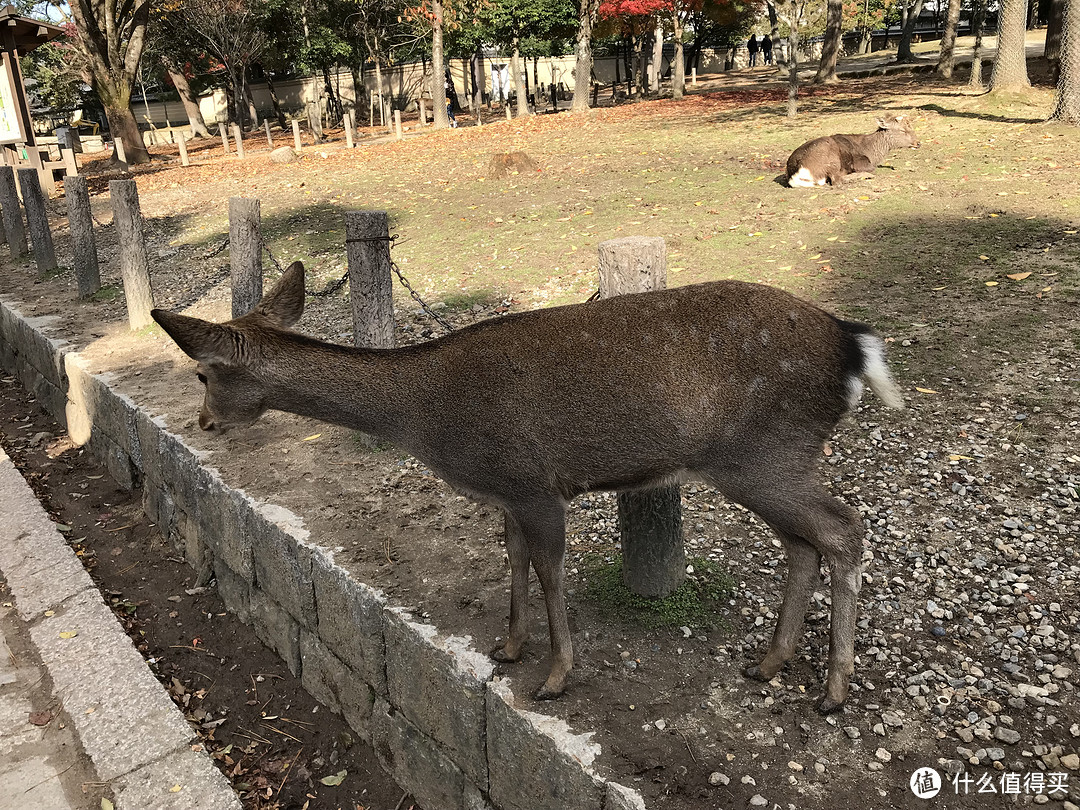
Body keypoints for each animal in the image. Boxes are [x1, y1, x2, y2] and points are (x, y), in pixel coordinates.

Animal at [152, 263, 902, 712]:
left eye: (202, 373)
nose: (205, 421)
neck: (426, 419)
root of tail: (853, 344)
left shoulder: (537, 484)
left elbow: (548, 567)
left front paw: (556, 675)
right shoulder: (506, 491)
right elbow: (512, 557)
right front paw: (509, 647)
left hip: (765, 454)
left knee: (843, 528)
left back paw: (833, 689)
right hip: (768, 462)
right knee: (803, 542)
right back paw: (768, 662)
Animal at [786, 113, 920, 187]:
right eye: (902, 130)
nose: (918, 143)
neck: (871, 152)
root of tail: (796, 174)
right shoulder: (860, 162)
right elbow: (872, 168)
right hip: (832, 159)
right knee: (836, 180)